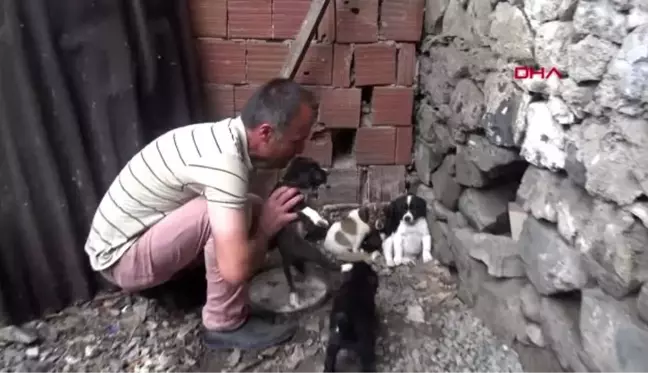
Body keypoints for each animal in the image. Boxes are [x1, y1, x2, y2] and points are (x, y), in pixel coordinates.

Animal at [268, 155, 342, 306]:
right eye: (315, 169)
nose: (328, 172)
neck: (293, 182)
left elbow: (310, 208)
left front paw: (321, 219)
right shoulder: (291, 203)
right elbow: (306, 208)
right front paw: (319, 218)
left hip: (300, 260)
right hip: (303, 255)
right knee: (291, 279)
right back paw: (294, 297)